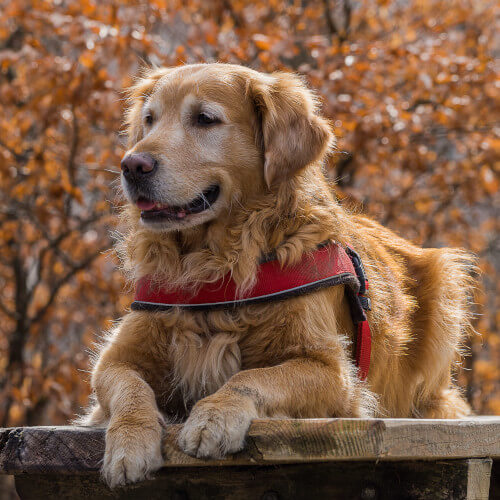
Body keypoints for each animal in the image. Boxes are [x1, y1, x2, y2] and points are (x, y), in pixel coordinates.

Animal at [82, 63, 476, 488]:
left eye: (205, 119)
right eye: (149, 120)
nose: (132, 165)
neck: (215, 265)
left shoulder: (333, 372)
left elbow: (254, 378)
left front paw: (214, 416)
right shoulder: (116, 359)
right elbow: (129, 388)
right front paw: (130, 442)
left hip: (446, 282)